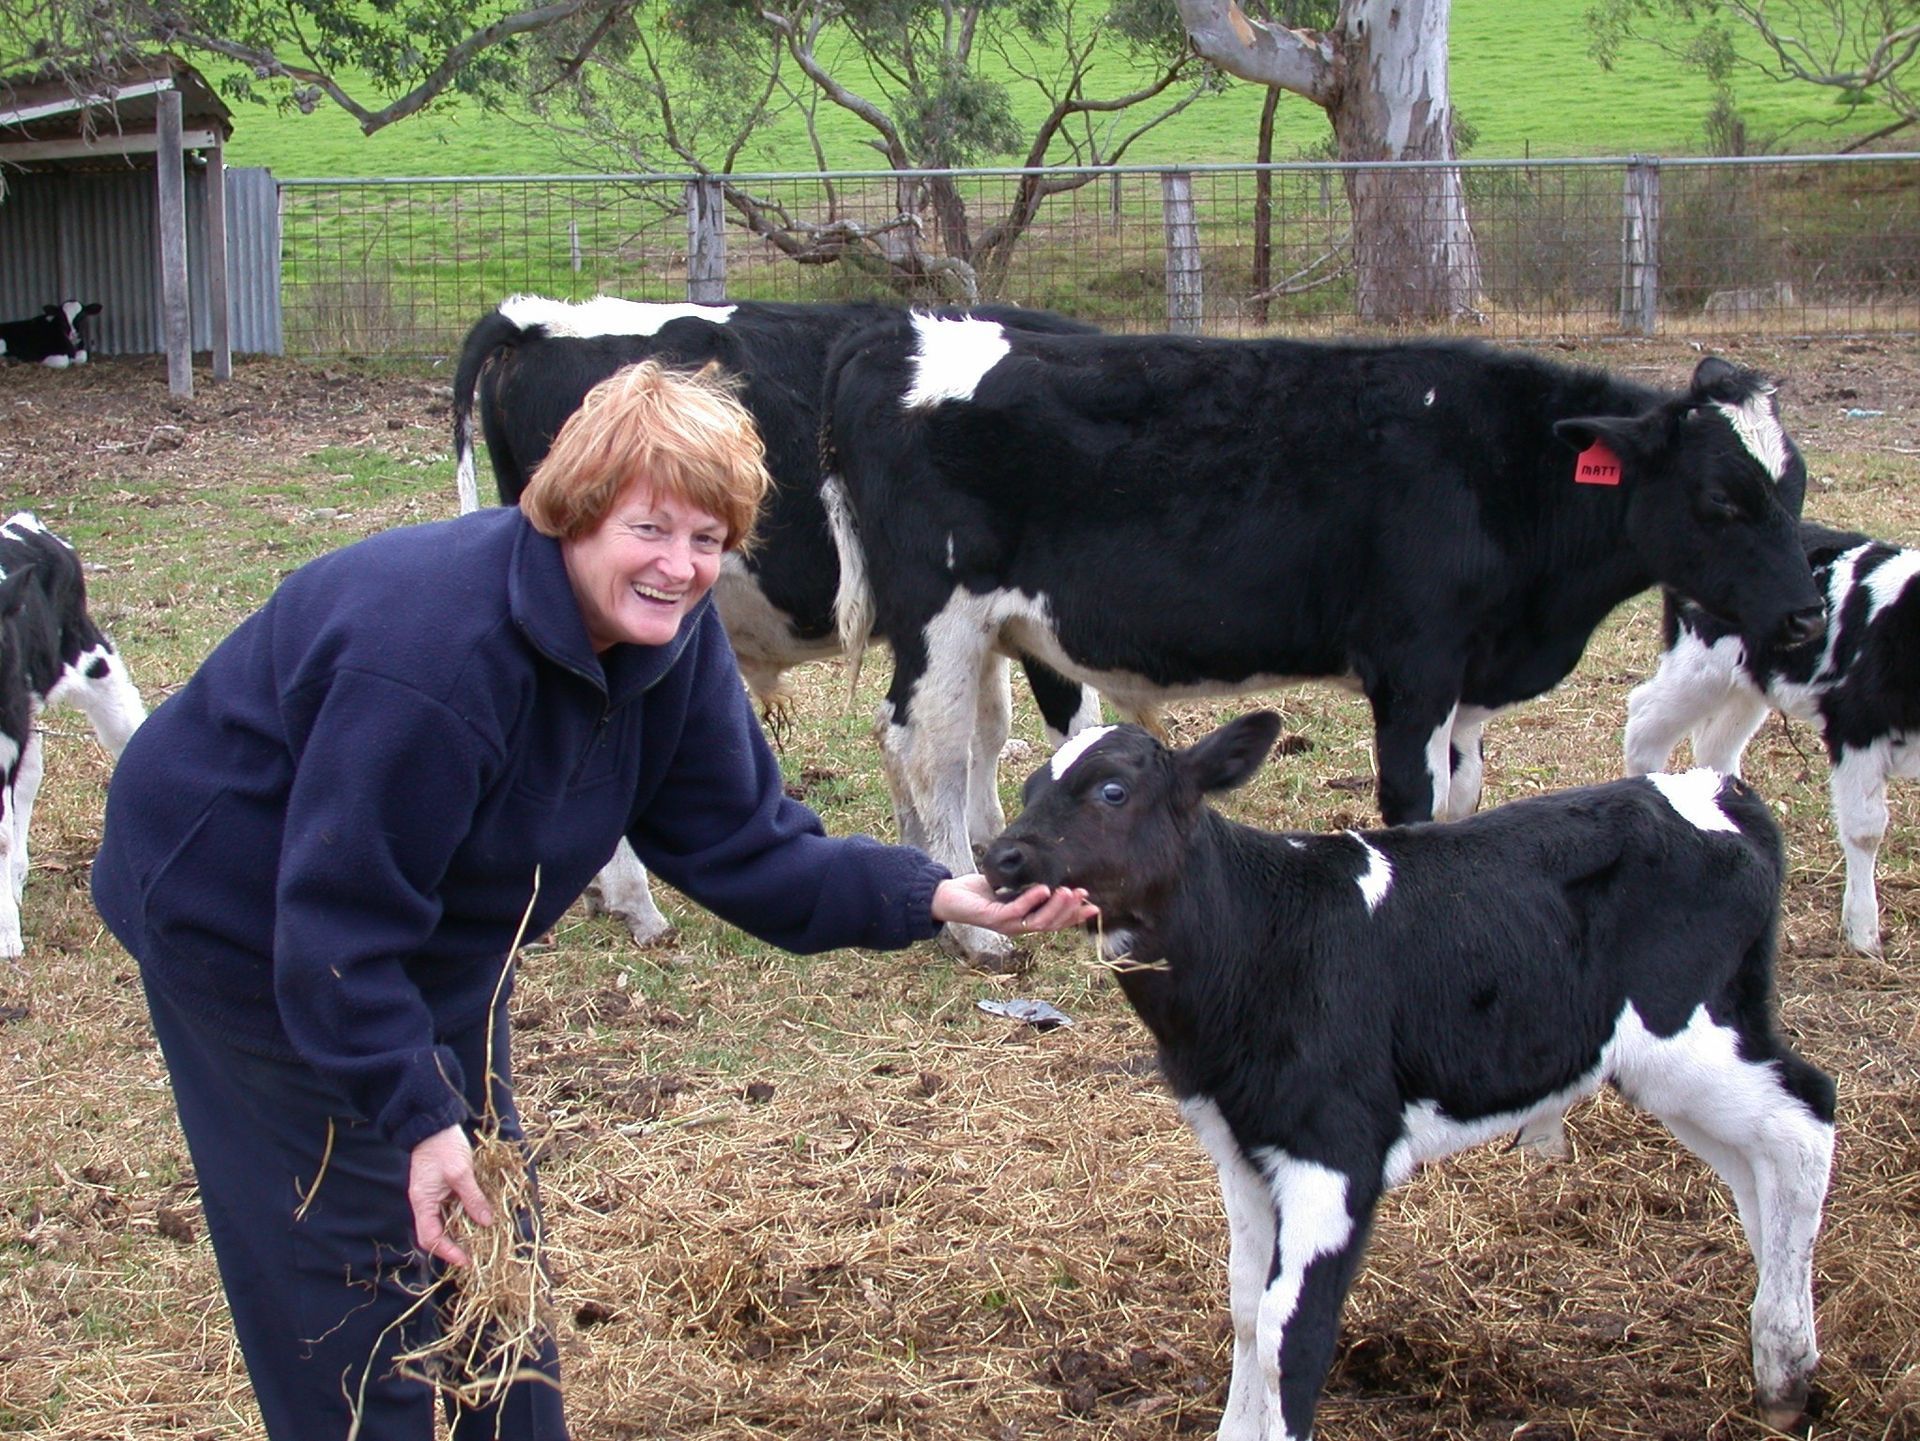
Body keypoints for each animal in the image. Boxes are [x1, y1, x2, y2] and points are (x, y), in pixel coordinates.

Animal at [451, 294, 1105, 949]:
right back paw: (638, 906)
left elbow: (987, 728)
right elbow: (1072, 731)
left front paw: (987, 839)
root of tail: (535, 318)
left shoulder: (972, 622)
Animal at [822, 313, 1826, 964]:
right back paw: (976, 929)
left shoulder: (1466, 681)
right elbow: (1415, 806)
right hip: (942, 619)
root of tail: (893, 340)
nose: (1806, 613)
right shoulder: (1415, 667)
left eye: (1795, 486)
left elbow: (1463, 800)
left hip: (983, 632)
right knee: (933, 752)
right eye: (1721, 498)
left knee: (924, 744)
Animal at [980, 711, 1835, 1441]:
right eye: (1028, 790)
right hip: (1672, 1057)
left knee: (1804, 1119)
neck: (1260, 933)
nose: (999, 856)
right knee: (1756, 1162)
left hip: (1686, 1028)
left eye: (1112, 790)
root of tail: (1718, 792)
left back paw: (1786, 1361)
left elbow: (1290, 1328)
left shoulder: (1337, 1147)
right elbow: (1248, 1308)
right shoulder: (1242, 1145)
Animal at [1625, 519, 1920, 955]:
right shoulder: (1855, 726)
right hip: (1702, 666)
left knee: (1716, 747)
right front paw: (1863, 934)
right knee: (1643, 724)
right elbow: (1865, 830)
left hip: (1750, 681)